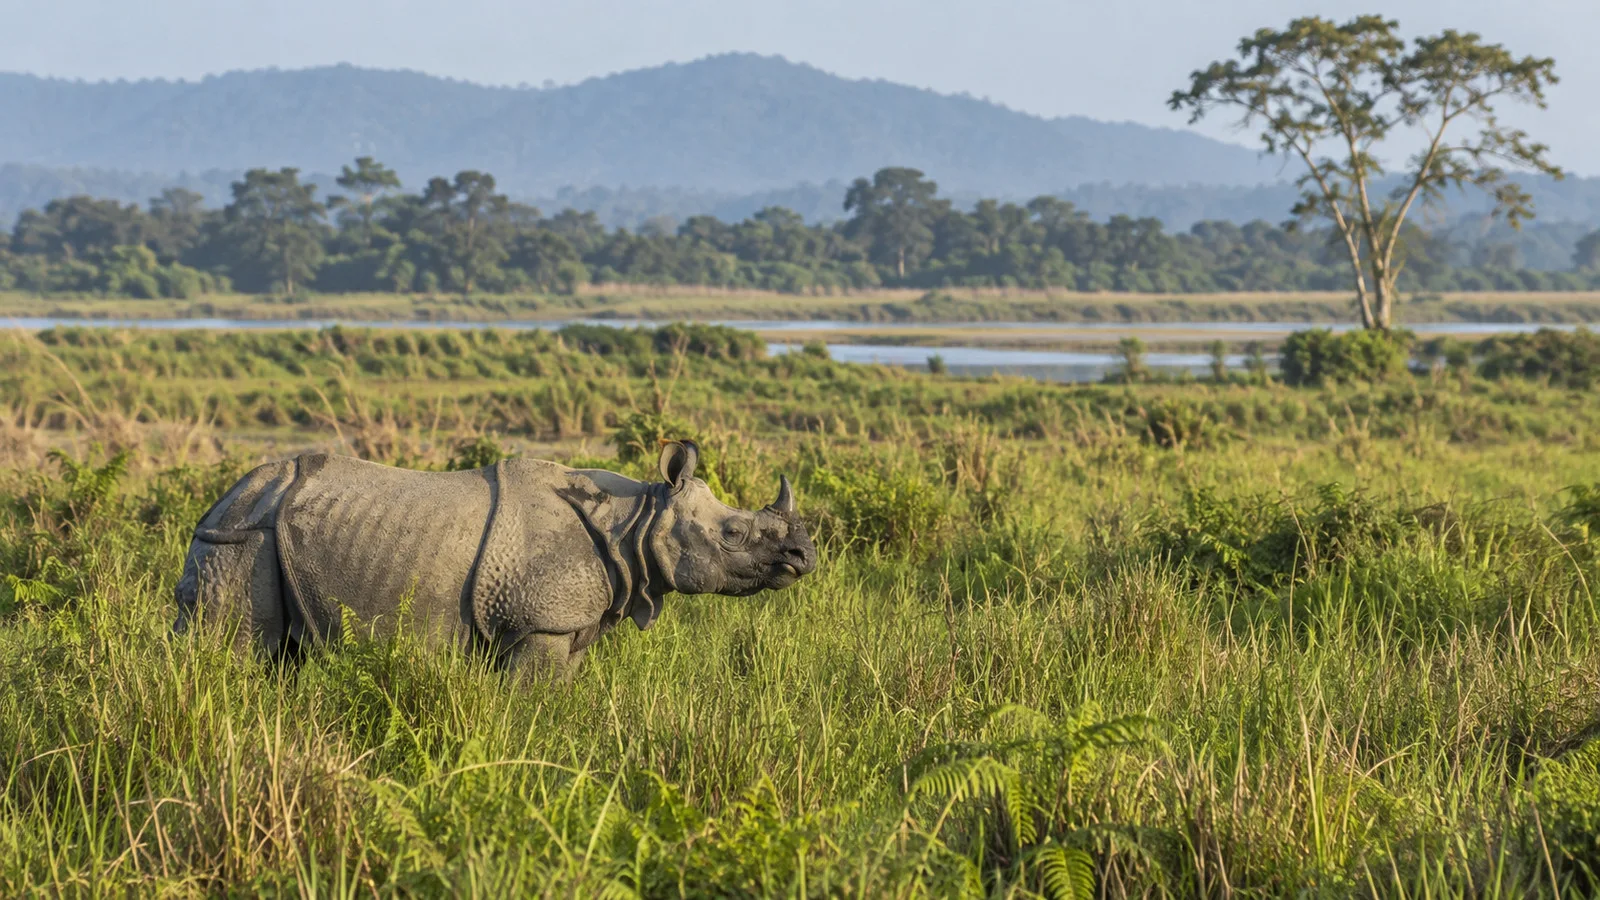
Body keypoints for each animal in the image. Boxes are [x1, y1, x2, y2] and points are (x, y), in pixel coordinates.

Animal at [173, 440, 816, 678]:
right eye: (733, 533)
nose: (803, 555)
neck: (636, 520)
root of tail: (224, 498)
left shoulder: (567, 627)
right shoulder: (539, 624)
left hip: (259, 533)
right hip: (239, 538)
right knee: (233, 648)